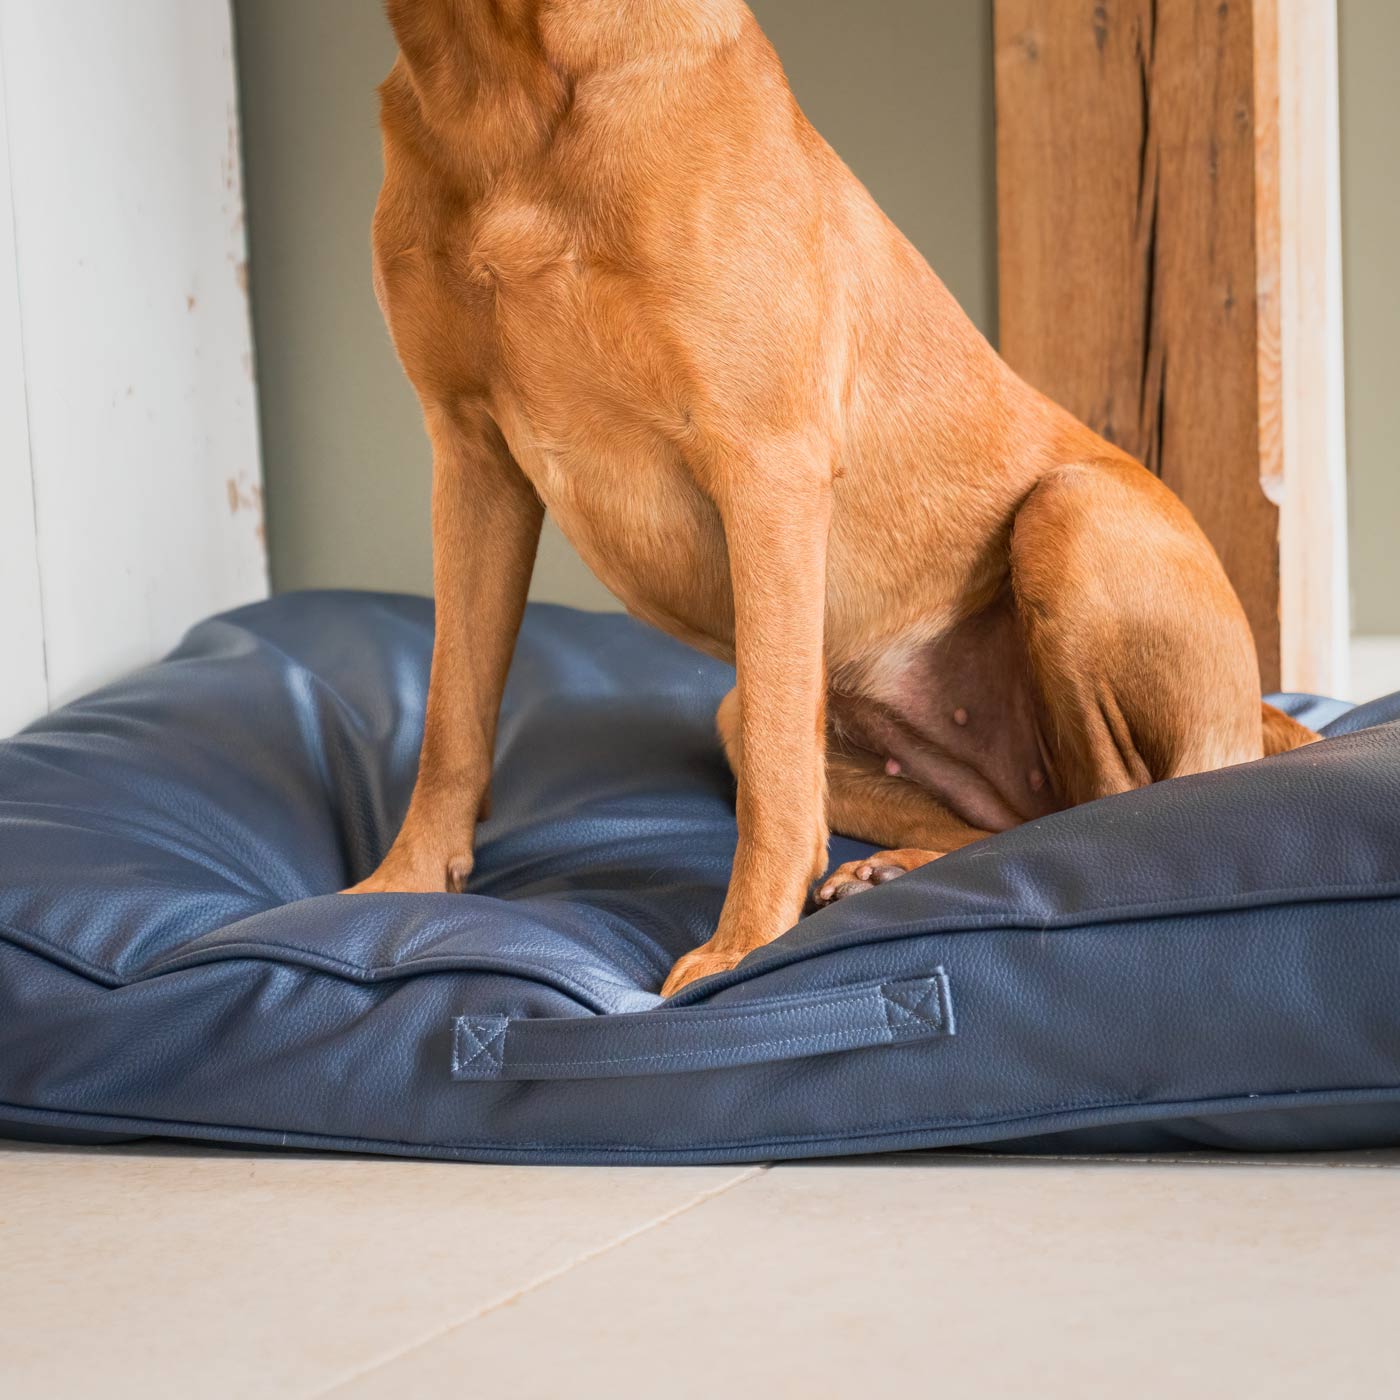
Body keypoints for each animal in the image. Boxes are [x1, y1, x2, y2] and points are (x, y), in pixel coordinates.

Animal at [347, 5, 1310, 1002]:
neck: (504, 79)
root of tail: (1263, 720)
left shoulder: (766, 463)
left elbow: (778, 776)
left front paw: (742, 948)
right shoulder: (473, 461)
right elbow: (452, 717)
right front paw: (398, 892)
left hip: (1071, 514)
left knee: (1109, 810)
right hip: (751, 713)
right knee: (1012, 827)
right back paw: (892, 872)